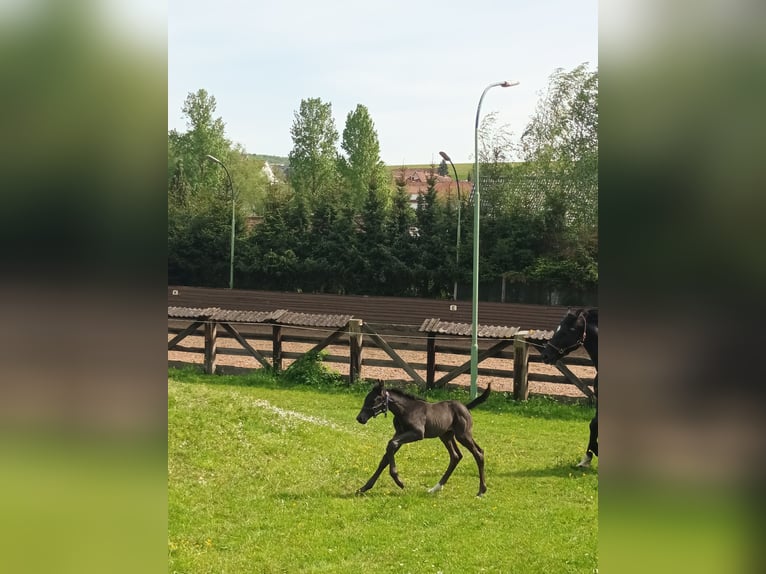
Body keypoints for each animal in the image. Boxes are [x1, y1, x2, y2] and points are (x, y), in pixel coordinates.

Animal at [356, 380, 492, 498]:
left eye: (375, 400)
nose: (360, 418)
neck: (405, 410)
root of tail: (466, 407)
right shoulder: (399, 433)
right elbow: (386, 457)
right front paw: (364, 488)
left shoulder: (417, 433)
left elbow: (391, 444)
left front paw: (399, 481)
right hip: (446, 436)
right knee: (456, 456)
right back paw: (435, 488)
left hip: (463, 435)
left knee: (478, 453)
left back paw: (481, 491)